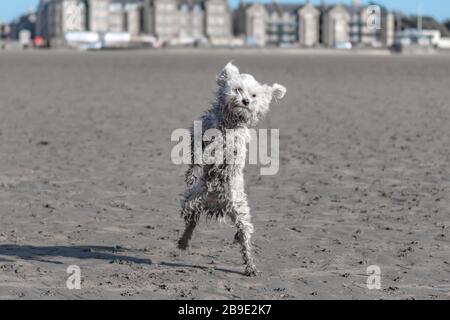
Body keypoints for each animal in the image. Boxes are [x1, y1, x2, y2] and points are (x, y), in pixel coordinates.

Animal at [176, 63, 284, 278]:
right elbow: (197, 154)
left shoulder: (233, 144)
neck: (229, 121)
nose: (245, 101)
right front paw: (193, 172)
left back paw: (251, 266)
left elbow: (222, 150)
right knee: (191, 220)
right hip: (191, 200)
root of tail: (216, 203)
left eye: (253, 95)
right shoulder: (200, 133)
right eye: (238, 89)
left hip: (241, 214)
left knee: (244, 240)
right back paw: (184, 241)